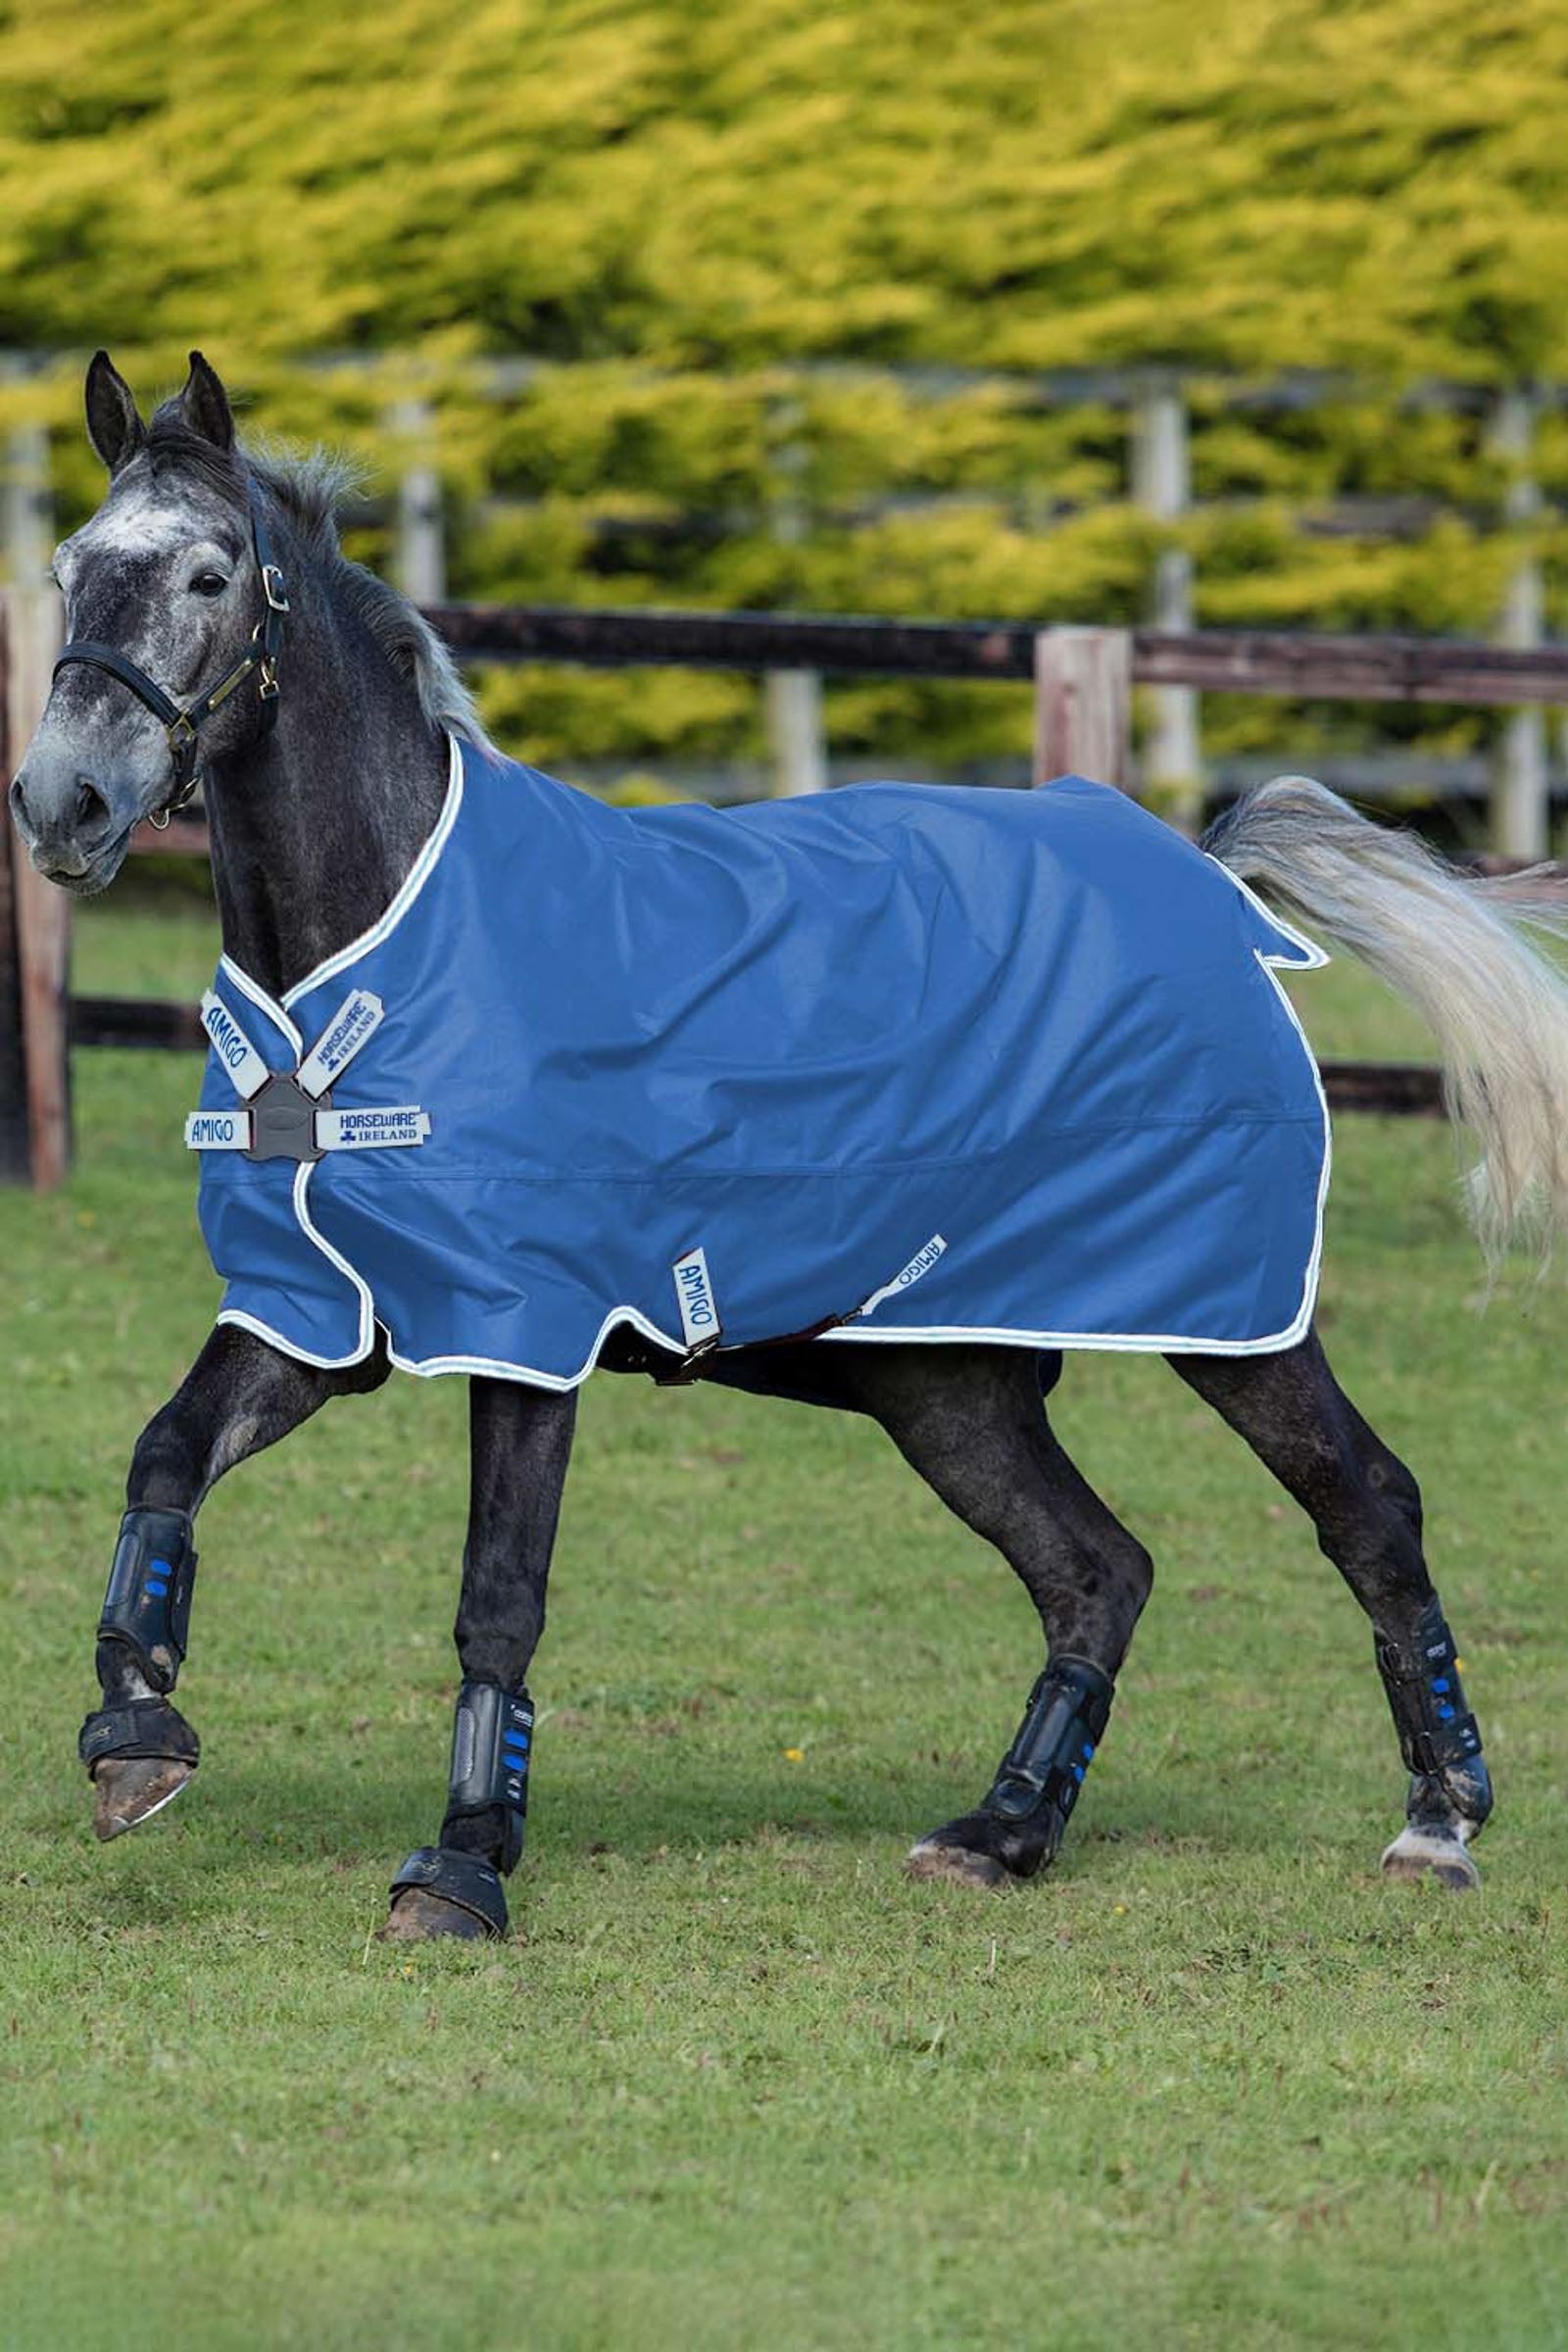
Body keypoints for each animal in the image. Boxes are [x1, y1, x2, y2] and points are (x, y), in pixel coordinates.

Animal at [11, 349, 1568, 1943]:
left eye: (209, 574)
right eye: (70, 567)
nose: (63, 802)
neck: (393, 951)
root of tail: (1203, 871)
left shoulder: (527, 1328)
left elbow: (498, 1591)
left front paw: (460, 1866)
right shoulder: (319, 1312)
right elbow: (166, 1451)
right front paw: (135, 1739)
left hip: (1225, 1313)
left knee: (1366, 1505)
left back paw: (1437, 1821)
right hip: (944, 1379)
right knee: (1098, 1569)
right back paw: (1003, 1830)